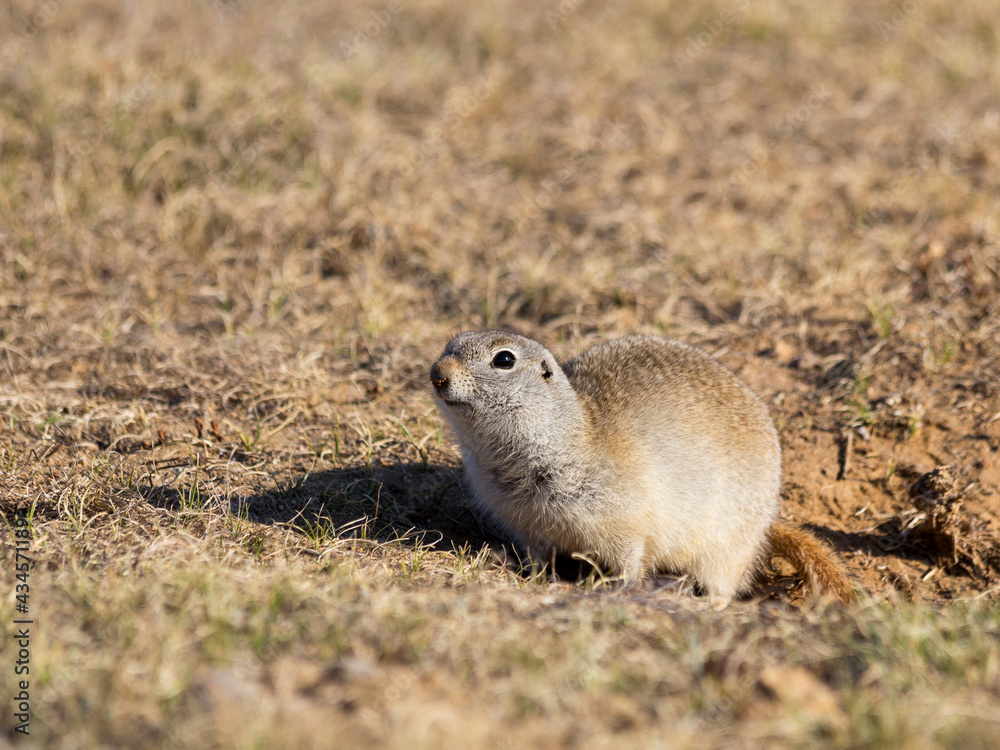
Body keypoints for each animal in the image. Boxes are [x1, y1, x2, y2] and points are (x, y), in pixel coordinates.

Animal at [430, 330, 859, 606]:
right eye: (449, 346)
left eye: (503, 359)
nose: (437, 374)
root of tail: (768, 522)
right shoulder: (524, 520)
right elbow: (537, 554)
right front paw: (532, 576)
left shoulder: (626, 514)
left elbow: (631, 555)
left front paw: (618, 587)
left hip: (726, 545)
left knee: (724, 590)